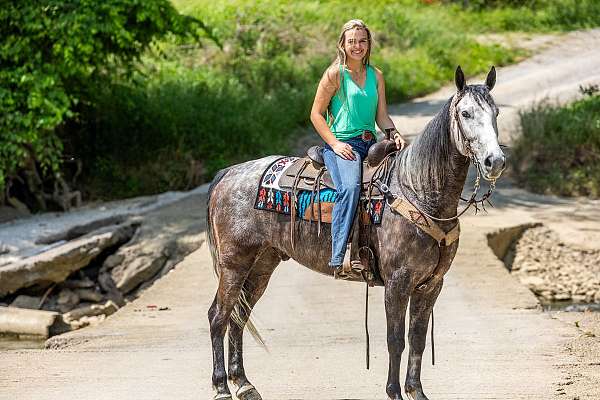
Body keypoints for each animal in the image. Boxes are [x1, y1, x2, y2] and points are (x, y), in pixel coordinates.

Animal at [207, 66, 506, 400]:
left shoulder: (430, 285)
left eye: (496, 112)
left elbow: (416, 339)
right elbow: (395, 340)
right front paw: (394, 392)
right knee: (219, 316)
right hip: (234, 264)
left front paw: (416, 391)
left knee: (238, 316)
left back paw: (243, 384)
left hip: (261, 265)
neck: (417, 191)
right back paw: (221, 386)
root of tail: (228, 174)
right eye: (465, 113)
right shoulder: (398, 283)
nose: (495, 161)